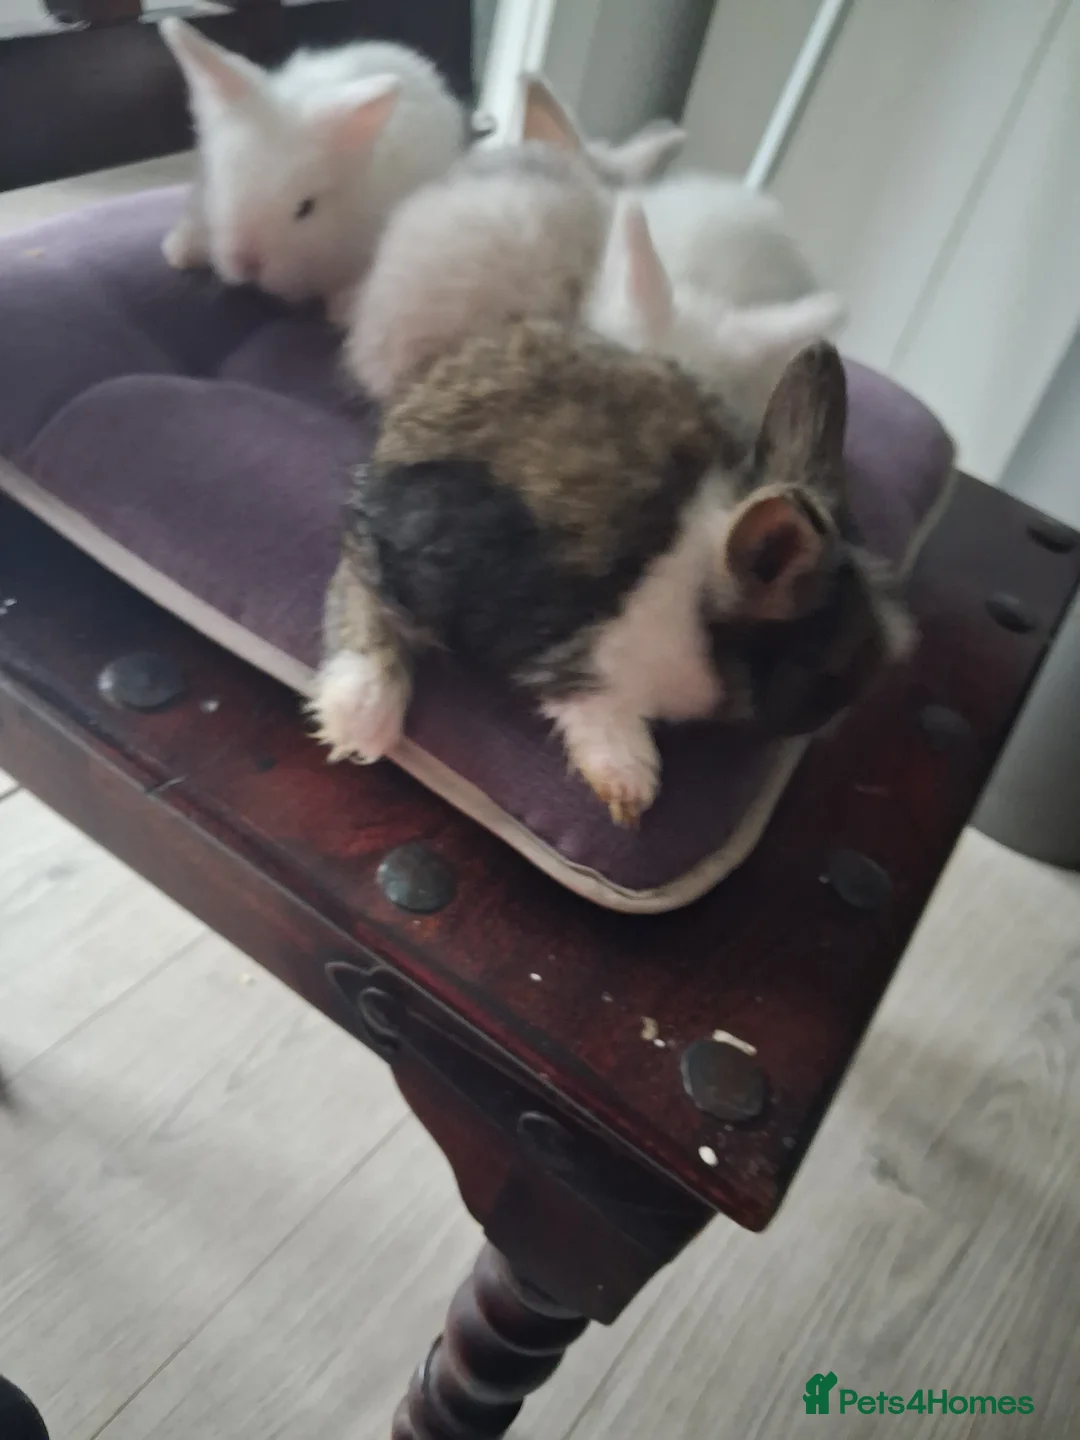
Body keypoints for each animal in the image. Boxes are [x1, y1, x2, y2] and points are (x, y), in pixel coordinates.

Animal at [311, 323, 913, 826]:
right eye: (825, 667)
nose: (825, 722)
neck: (699, 601)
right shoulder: (580, 654)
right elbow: (592, 707)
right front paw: (630, 788)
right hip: (426, 554)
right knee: (360, 581)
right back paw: (360, 716)